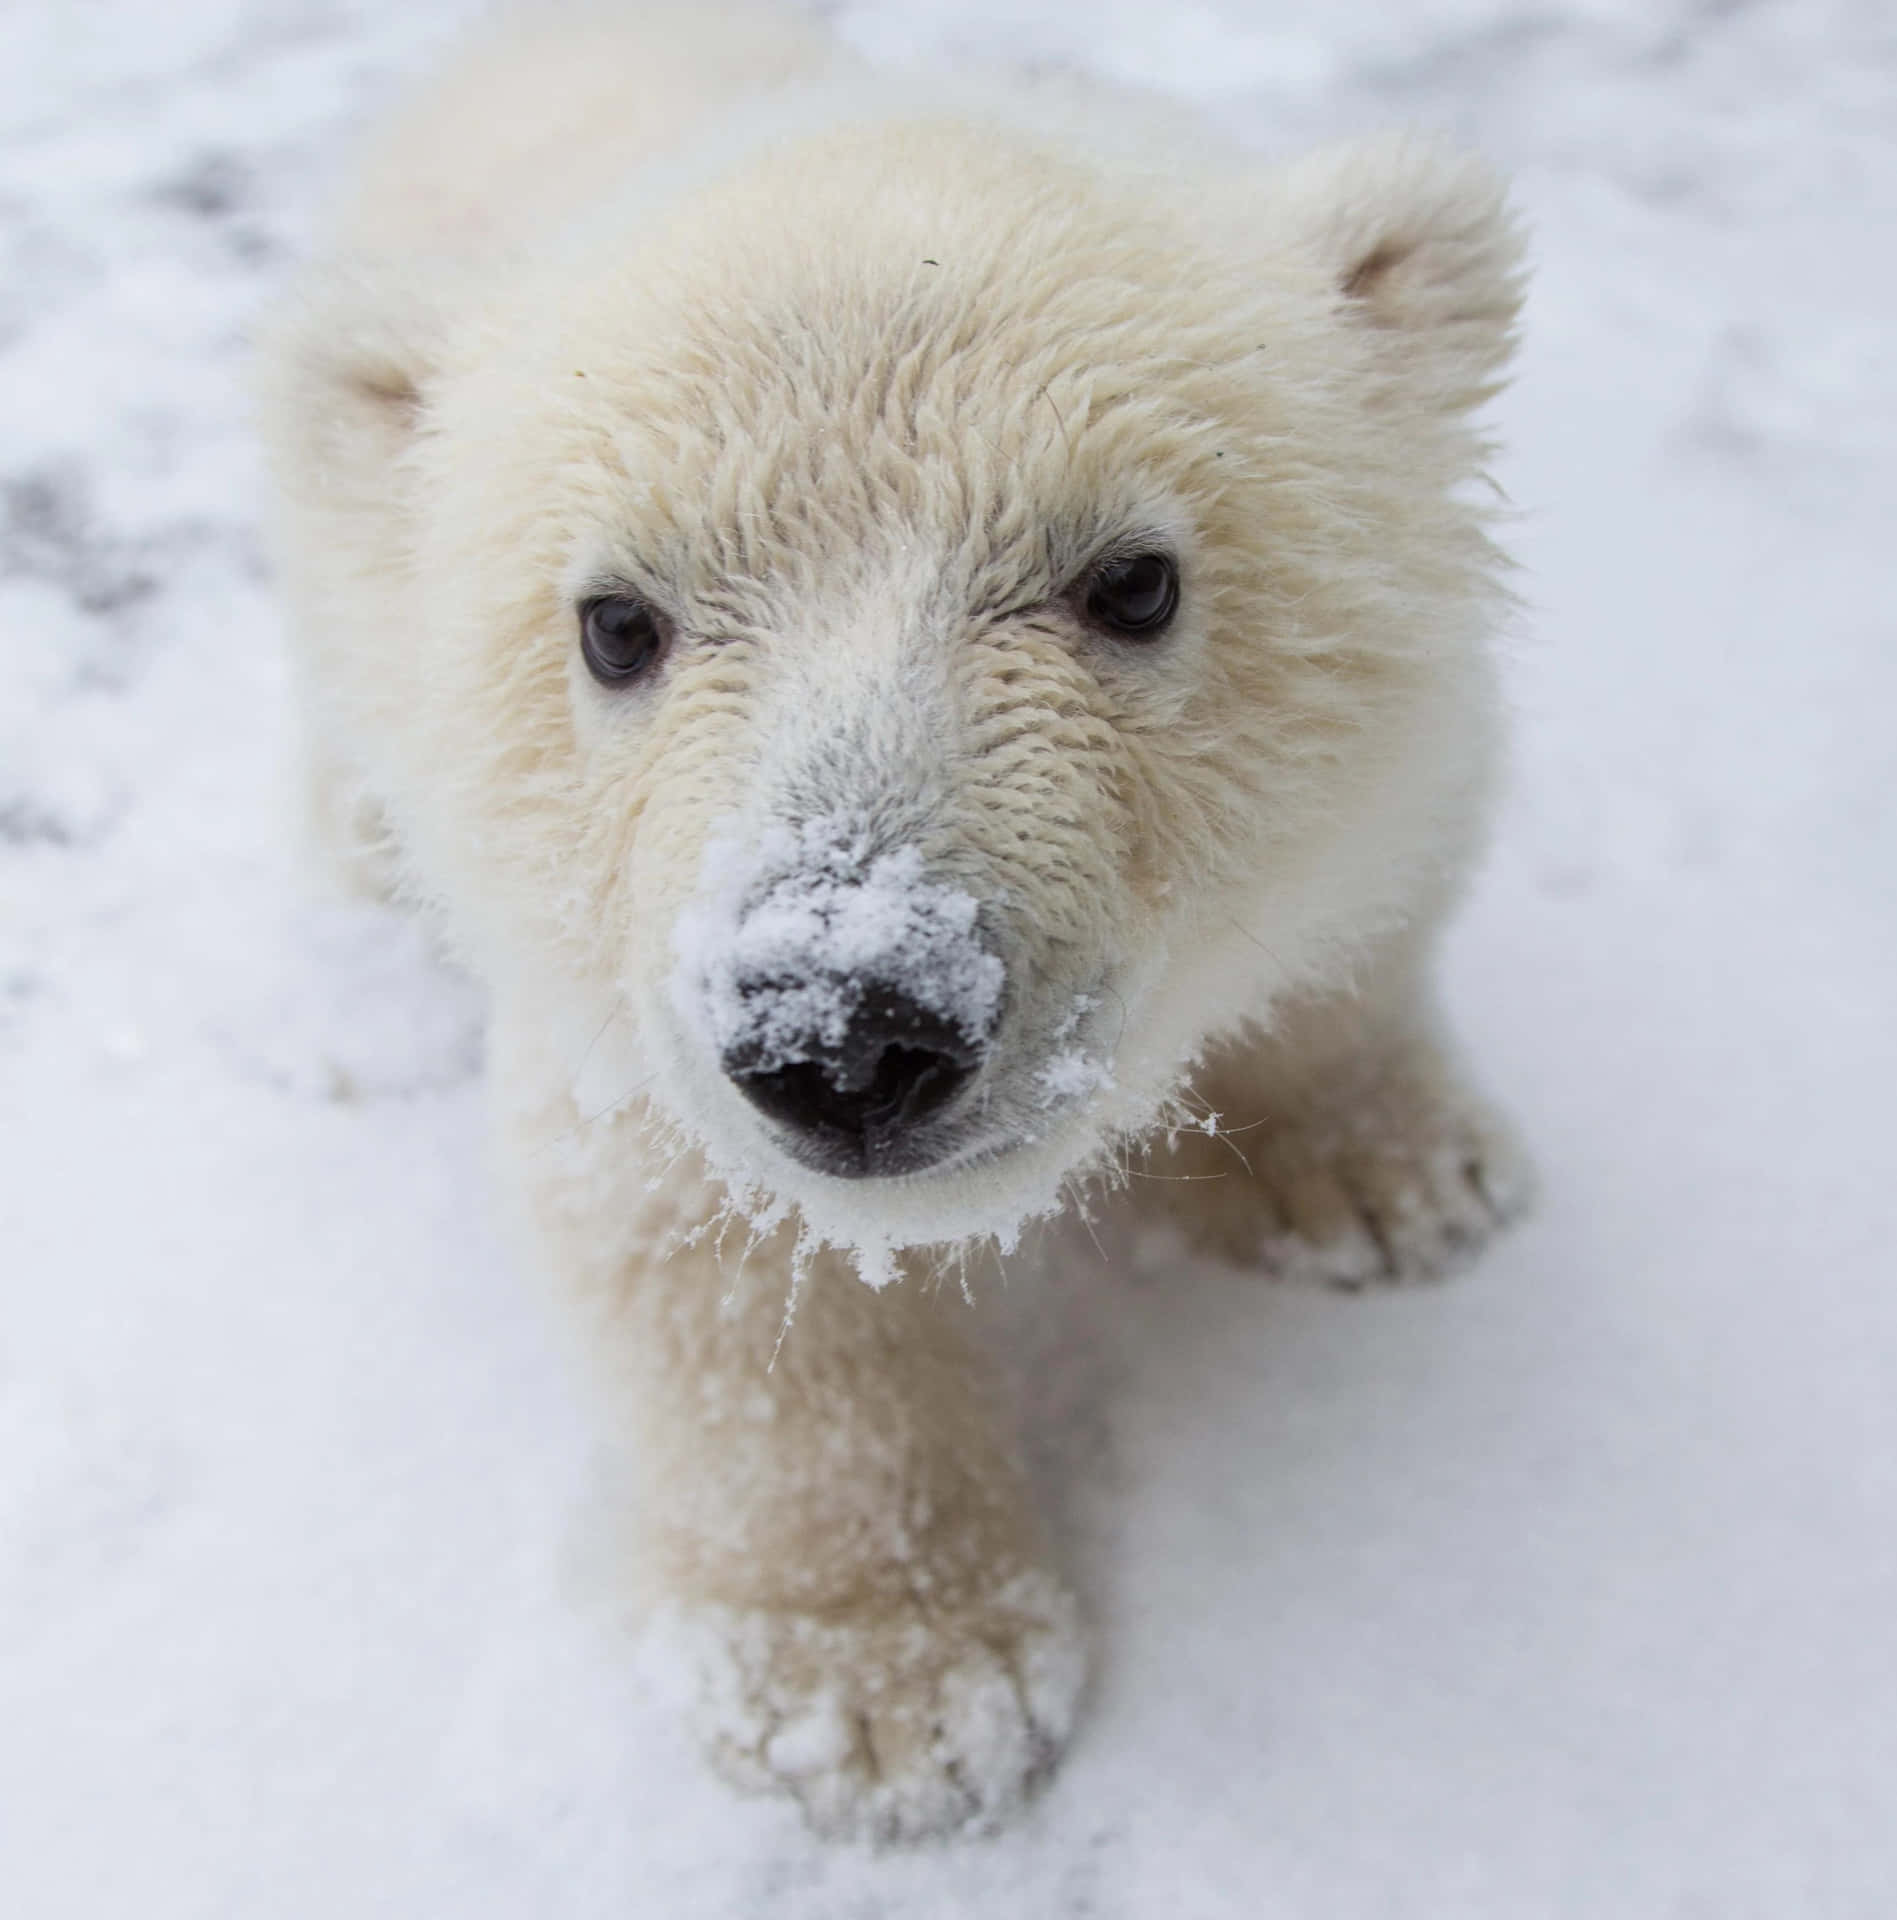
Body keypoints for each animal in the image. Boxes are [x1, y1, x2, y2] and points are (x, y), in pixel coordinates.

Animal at [256, 0, 1531, 1843]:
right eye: (614, 623)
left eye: (1133, 578)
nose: (848, 1032)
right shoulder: (629, 1012)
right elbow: (713, 1261)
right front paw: (883, 1701)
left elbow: (1364, 909)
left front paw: (1390, 1187)